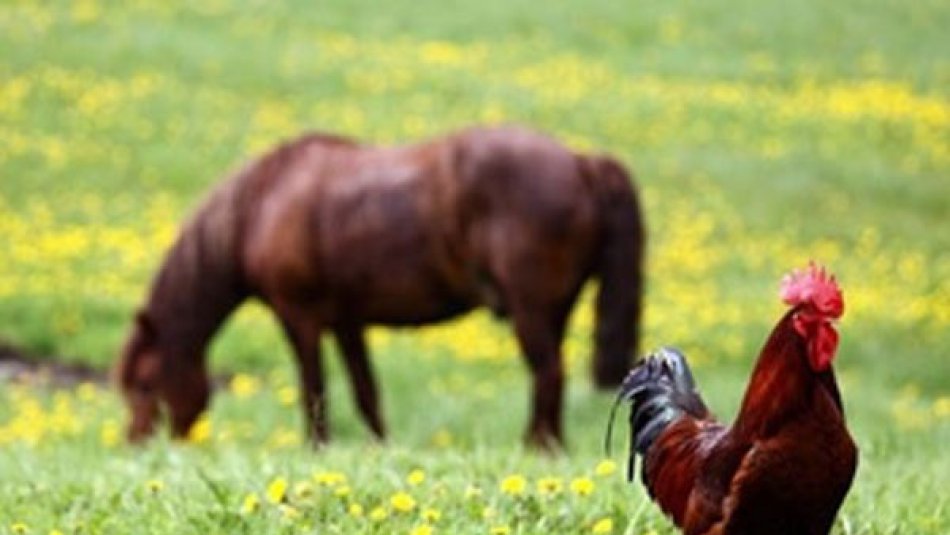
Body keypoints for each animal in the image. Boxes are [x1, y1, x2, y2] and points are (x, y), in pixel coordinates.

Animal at [116, 125, 645, 449]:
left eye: (145, 384)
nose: (139, 446)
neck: (260, 206)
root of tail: (582, 162)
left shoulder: (299, 316)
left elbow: (314, 389)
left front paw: (317, 449)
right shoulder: (346, 320)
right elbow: (365, 391)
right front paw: (378, 448)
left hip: (531, 311)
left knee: (548, 375)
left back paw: (537, 451)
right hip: (554, 311)